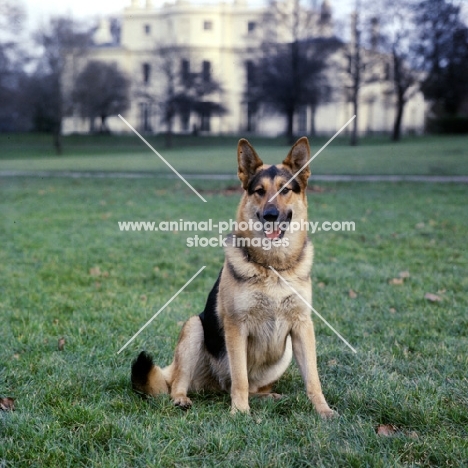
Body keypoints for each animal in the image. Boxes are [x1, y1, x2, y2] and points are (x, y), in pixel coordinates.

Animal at [132, 137, 334, 418]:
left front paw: (323, 409)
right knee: (182, 384)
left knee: (254, 388)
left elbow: (313, 379)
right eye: (259, 191)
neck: (271, 266)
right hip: (194, 328)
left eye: (285, 190)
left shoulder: (303, 326)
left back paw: (269, 397)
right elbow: (240, 377)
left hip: (284, 354)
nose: (270, 215)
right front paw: (239, 412)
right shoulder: (237, 327)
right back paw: (182, 398)